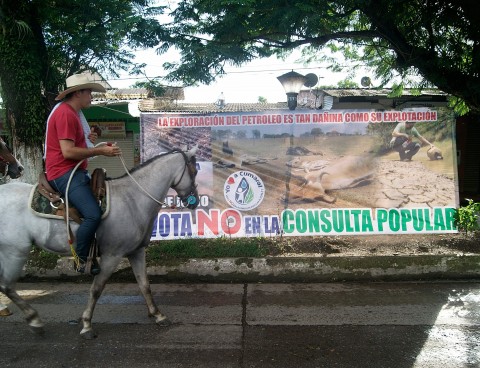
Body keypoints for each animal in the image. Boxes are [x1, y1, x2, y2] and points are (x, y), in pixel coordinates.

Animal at [0, 147, 199, 340]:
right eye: (195, 171)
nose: (194, 201)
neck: (133, 199)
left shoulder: (137, 252)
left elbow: (144, 284)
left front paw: (157, 315)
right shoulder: (112, 256)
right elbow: (96, 289)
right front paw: (87, 325)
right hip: (15, 252)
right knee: (6, 285)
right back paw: (34, 320)